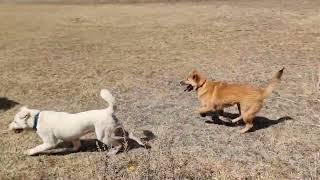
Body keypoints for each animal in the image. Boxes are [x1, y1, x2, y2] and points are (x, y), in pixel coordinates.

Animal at [8, 89, 144, 155]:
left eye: (15, 121)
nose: (8, 127)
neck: (37, 118)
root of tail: (107, 110)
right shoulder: (75, 137)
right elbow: (76, 146)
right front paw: (70, 150)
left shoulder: (49, 142)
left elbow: (37, 148)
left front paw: (28, 152)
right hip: (114, 129)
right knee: (129, 135)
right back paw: (141, 142)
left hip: (104, 137)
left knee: (120, 143)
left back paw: (112, 153)